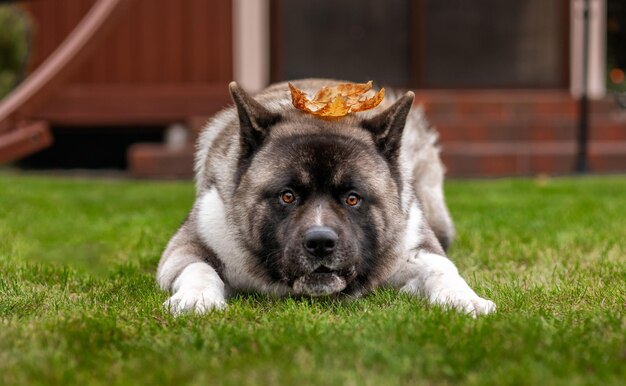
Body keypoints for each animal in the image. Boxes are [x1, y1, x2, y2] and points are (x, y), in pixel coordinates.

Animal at [157, 79, 498, 316]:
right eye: (287, 196)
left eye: (352, 198)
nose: (320, 242)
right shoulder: (188, 245)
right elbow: (198, 268)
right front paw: (196, 298)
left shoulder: (415, 248)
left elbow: (443, 269)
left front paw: (466, 299)